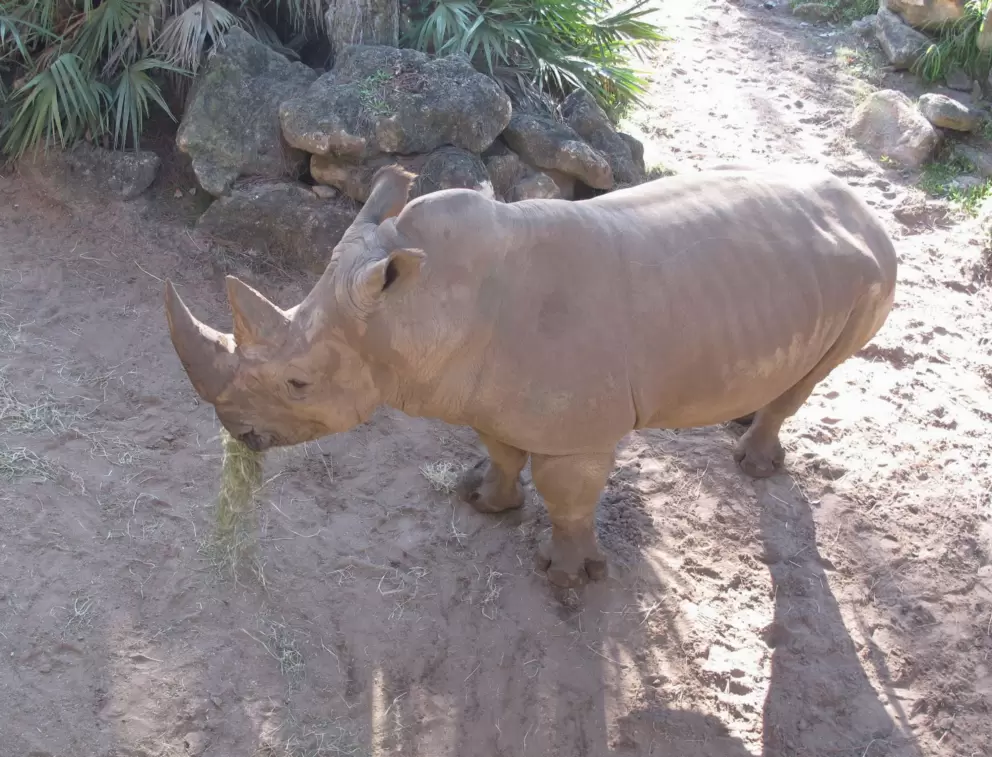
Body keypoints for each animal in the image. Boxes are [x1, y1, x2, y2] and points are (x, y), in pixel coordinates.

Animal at [165, 163, 897, 588]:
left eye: (299, 384)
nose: (238, 432)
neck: (421, 311)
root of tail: (865, 210)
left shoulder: (577, 433)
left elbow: (568, 494)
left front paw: (566, 578)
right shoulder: (484, 394)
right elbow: (500, 449)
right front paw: (483, 501)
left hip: (873, 276)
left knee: (816, 375)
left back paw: (754, 462)